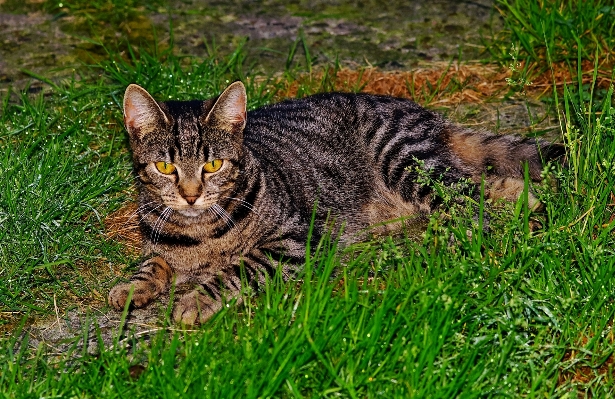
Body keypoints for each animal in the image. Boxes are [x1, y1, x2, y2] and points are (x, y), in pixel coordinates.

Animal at [108, 81, 564, 324]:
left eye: (213, 164)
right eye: (165, 166)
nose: (190, 195)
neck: (199, 231)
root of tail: (428, 114)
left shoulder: (295, 239)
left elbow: (238, 269)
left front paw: (195, 300)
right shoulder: (159, 243)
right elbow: (153, 263)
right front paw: (132, 287)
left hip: (405, 161)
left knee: (465, 197)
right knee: (475, 182)